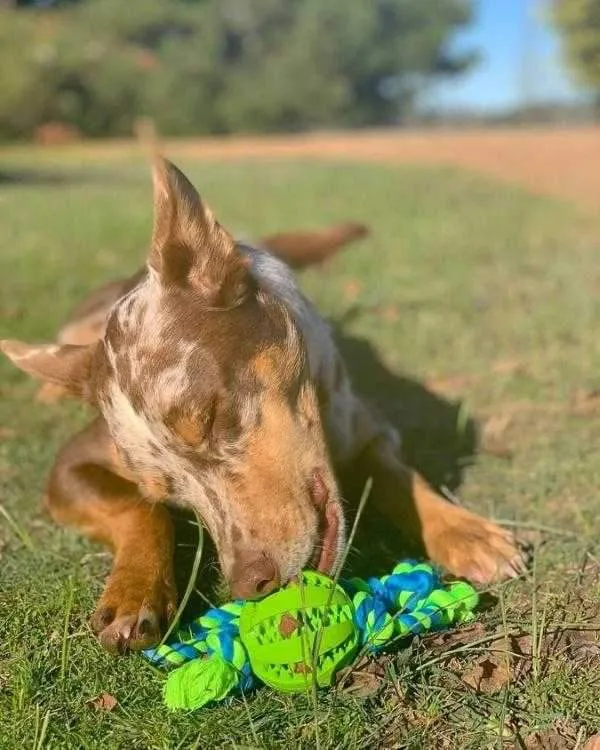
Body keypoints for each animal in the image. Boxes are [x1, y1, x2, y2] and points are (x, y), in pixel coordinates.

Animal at [0, 156, 524, 656]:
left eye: (211, 416)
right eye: (171, 491)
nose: (249, 584)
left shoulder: (370, 428)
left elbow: (399, 476)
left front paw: (464, 532)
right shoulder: (69, 466)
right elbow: (137, 509)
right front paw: (133, 593)